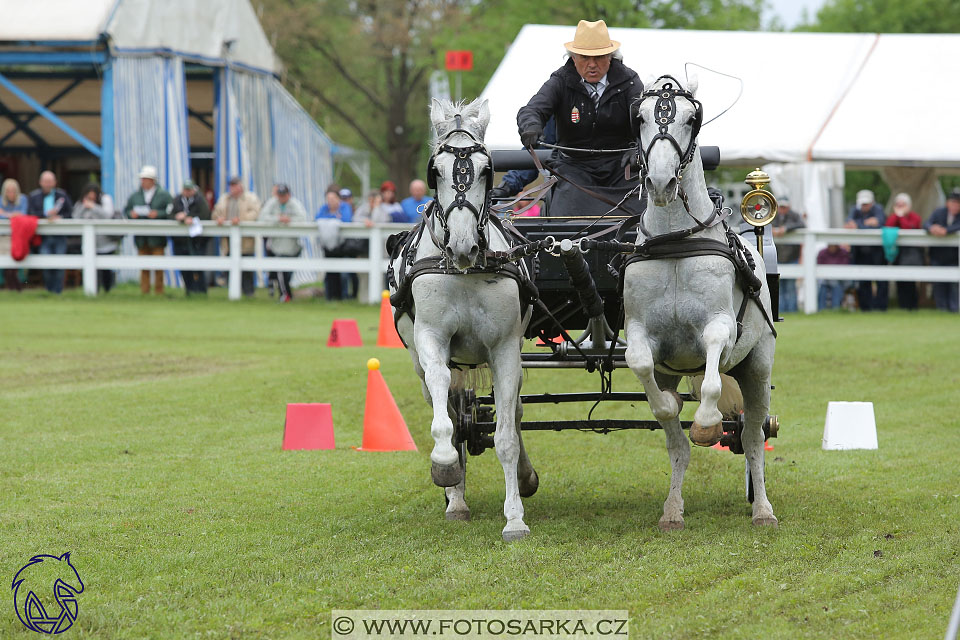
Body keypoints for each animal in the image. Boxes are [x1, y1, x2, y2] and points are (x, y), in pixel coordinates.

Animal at [390, 99, 540, 540]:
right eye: (435, 171)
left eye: (488, 169)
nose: (462, 245)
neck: (466, 270)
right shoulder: (431, 341)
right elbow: (447, 417)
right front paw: (445, 467)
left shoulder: (505, 349)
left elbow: (506, 437)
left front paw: (514, 518)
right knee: (452, 410)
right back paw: (455, 498)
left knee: (515, 413)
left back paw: (523, 477)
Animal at [628, 75, 776, 528]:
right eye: (640, 117)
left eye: (692, 119)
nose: (660, 183)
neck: (676, 241)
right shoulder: (640, 333)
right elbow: (641, 367)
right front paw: (667, 404)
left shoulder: (721, 326)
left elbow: (711, 373)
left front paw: (708, 423)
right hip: (672, 372)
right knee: (677, 446)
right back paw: (672, 510)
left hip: (757, 368)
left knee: (752, 436)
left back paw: (763, 509)